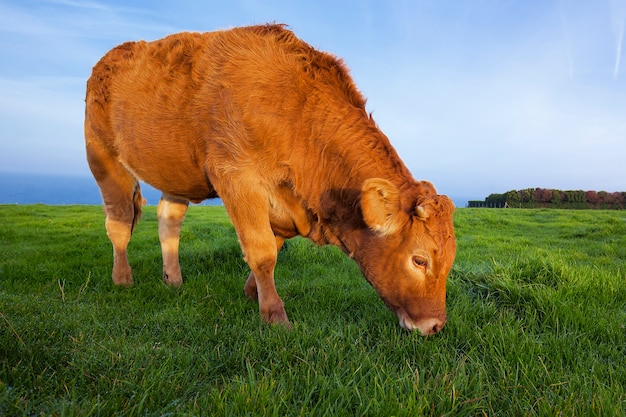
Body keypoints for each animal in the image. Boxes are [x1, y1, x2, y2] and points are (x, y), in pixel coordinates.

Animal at [84, 23, 454, 334]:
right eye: (419, 259)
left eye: (449, 260)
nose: (435, 326)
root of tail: (110, 58)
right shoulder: (237, 178)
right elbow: (262, 250)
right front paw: (275, 315)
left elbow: (272, 246)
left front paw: (252, 293)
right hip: (103, 158)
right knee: (119, 222)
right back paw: (123, 279)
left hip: (176, 173)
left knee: (168, 223)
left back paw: (173, 280)